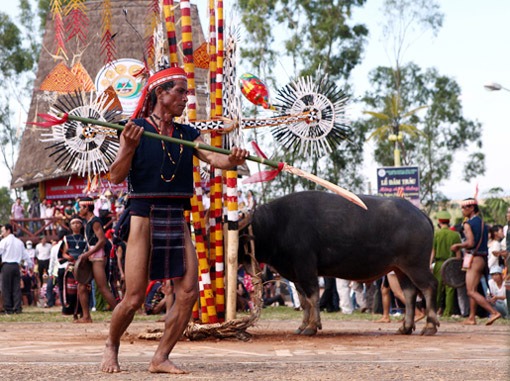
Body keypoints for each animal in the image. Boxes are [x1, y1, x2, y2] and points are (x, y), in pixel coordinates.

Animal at [241, 190, 440, 336]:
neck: (277, 224)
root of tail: (421, 214)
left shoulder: (306, 268)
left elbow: (313, 297)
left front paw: (312, 326)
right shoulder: (295, 274)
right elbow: (304, 301)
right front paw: (302, 326)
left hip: (416, 265)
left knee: (429, 286)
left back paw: (430, 326)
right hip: (400, 269)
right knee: (409, 293)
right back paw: (405, 327)